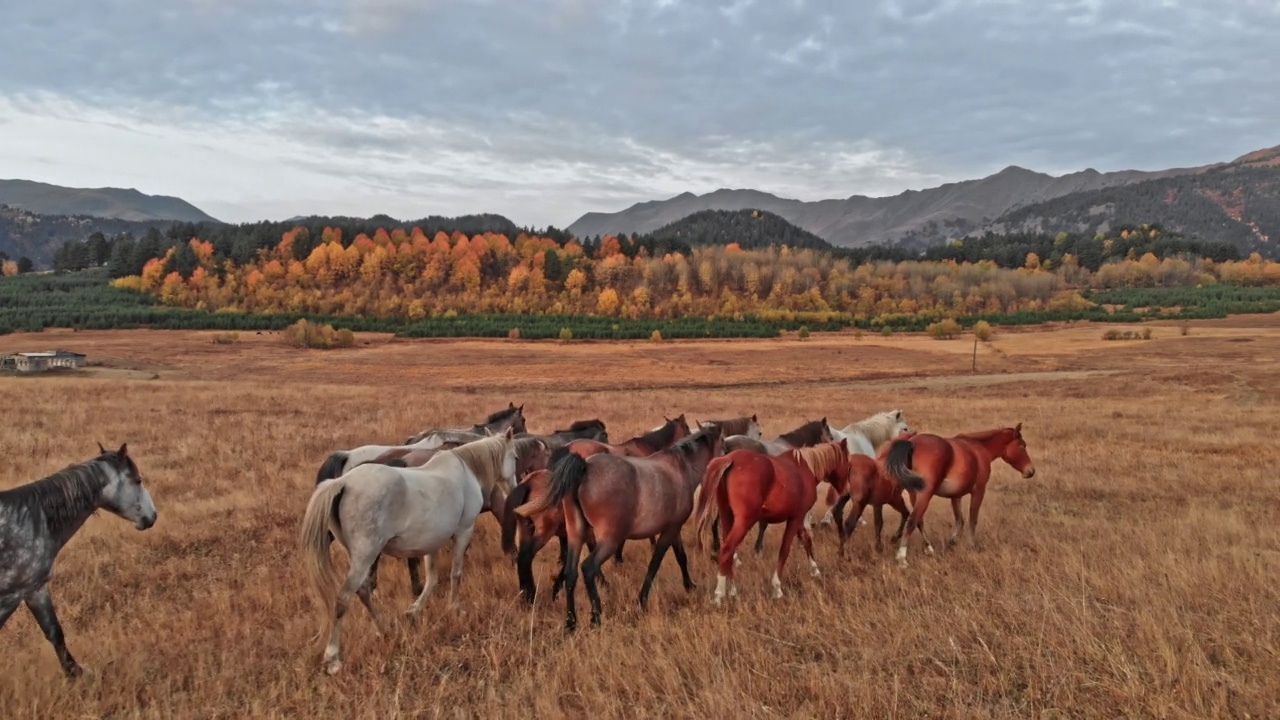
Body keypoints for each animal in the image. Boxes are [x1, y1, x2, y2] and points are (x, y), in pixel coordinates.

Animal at [0, 440, 158, 676]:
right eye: (138, 480)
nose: (153, 516)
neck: (33, 520)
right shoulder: (10, 596)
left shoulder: (35, 589)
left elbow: (54, 632)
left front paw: (75, 674)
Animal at [299, 425, 519, 671]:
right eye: (515, 457)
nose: (514, 488)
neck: (465, 468)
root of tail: (343, 482)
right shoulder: (464, 531)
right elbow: (456, 574)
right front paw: (455, 608)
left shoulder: (433, 540)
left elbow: (432, 578)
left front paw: (415, 609)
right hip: (366, 555)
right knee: (343, 599)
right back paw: (333, 657)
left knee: (363, 590)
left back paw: (383, 628)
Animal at [514, 422, 727, 625]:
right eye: (723, 445)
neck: (680, 469)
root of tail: (583, 468)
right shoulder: (670, 530)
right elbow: (655, 563)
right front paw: (642, 600)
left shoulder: (673, 530)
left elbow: (681, 557)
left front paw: (689, 586)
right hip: (609, 539)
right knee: (588, 568)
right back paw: (595, 616)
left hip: (576, 533)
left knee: (570, 572)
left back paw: (570, 621)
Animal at [691, 440, 849, 602]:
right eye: (847, 462)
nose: (845, 489)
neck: (805, 468)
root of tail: (729, 459)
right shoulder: (796, 517)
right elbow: (785, 550)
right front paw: (777, 587)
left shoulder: (797, 518)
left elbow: (806, 540)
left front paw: (815, 570)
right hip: (744, 521)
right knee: (727, 549)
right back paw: (719, 595)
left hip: (726, 516)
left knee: (729, 553)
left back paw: (733, 591)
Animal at [880, 420, 1039, 566]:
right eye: (1022, 445)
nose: (1030, 471)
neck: (979, 449)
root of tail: (911, 444)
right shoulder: (978, 491)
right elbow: (972, 519)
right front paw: (972, 545)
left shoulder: (956, 496)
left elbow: (960, 520)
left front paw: (953, 541)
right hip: (924, 495)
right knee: (913, 520)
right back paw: (902, 558)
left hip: (914, 494)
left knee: (918, 520)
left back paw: (929, 548)